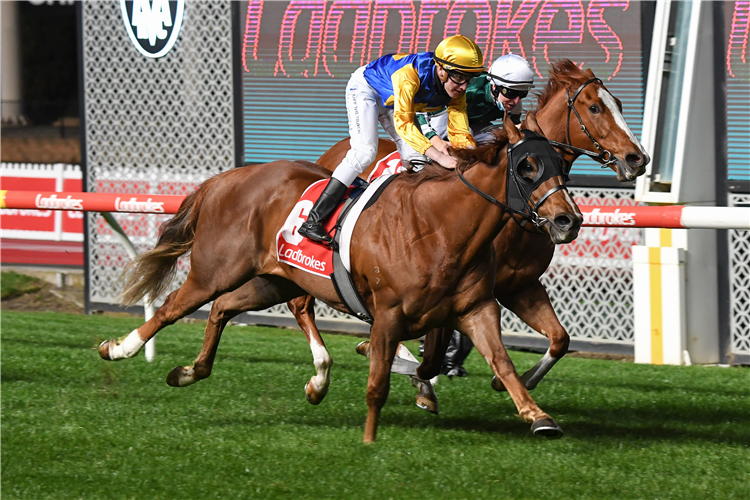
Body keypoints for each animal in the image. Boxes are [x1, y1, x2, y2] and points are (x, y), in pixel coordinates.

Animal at [100, 116, 580, 442]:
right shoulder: (388, 313)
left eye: (562, 165)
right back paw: (120, 348)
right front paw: (369, 439)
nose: (567, 220)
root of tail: (227, 177)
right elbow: (380, 380)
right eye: (527, 167)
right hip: (215, 269)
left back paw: (196, 372)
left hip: (273, 280)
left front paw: (538, 417)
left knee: (223, 309)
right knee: (172, 307)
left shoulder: (475, 307)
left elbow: (501, 362)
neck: (440, 226)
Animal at [296, 58, 648, 404]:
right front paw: (418, 375)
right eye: (595, 108)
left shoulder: (521, 285)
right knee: (302, 303)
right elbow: (430, 346)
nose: (637, 158)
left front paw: (516, 380)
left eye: (618, 104)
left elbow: (560, 338)